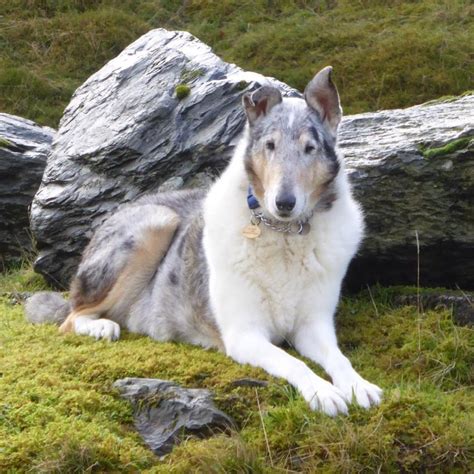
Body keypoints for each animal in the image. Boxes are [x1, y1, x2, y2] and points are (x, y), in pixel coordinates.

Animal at [25, 66, 382, 414]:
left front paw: (358, 386)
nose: (284, 203)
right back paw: (101, 327)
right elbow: (294, 363)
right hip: (155, 223)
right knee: (71, 316)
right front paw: (323, 392)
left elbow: (339, 358)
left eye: (310, 148)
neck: (284, 235)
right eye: (270, 146)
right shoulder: (245, 334)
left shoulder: (313, 325)